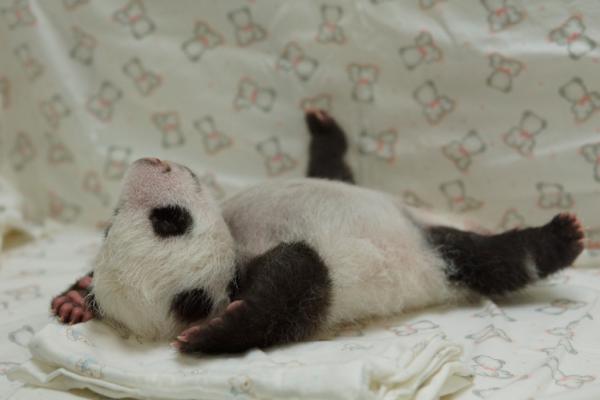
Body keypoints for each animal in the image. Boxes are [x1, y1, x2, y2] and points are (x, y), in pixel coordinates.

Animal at [51, 111, 584, 354]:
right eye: (169, 219)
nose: (151, 162)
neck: (236, 243)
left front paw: (75, 299)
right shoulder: (302, 280)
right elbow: (297, 283)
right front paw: (217, 333)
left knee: (335, 171)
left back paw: (324, 127)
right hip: (437, 255)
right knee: (496, 261)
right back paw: (560, 238)